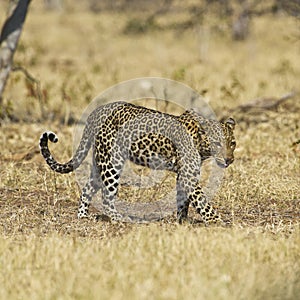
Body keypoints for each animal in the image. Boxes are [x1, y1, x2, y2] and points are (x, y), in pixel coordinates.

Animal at [39, 102, 236, 224]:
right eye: (217, 144)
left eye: (232, 143)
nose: (229, 159)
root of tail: (97, 111)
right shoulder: (188, 175)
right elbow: (201, 201)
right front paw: (216, 221)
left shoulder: (184, 174)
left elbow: (183, 200)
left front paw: (183, 221)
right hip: (112, 162)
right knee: (106, 196)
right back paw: (120, 218)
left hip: (100, 160)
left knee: (88, 188)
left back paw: (83, 216)